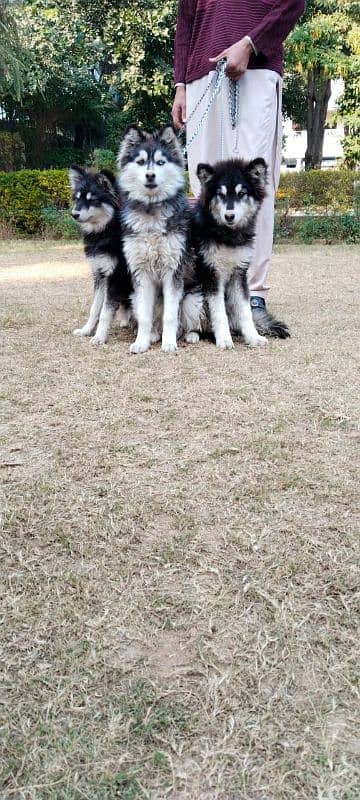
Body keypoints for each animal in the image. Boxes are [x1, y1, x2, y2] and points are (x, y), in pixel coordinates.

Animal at [69, 166, 134, 344]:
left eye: (92, 200)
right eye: (77, 198)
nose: (74, 214)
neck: (106, 231)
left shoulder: (115, 277)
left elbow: (105, 311)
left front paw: (99, 336)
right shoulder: (100, 275)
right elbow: (95, 308)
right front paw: (86, 330)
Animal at [183, 159, 290, 346]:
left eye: (241, 193)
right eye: (220, 194)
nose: (229, 216)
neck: (227, 236)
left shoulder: (239, 274)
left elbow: (245, 310)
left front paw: (253, 337)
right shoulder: (212, 274)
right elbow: (218, 312)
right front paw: (224, 339)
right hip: (193, 297)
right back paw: (193, 334)